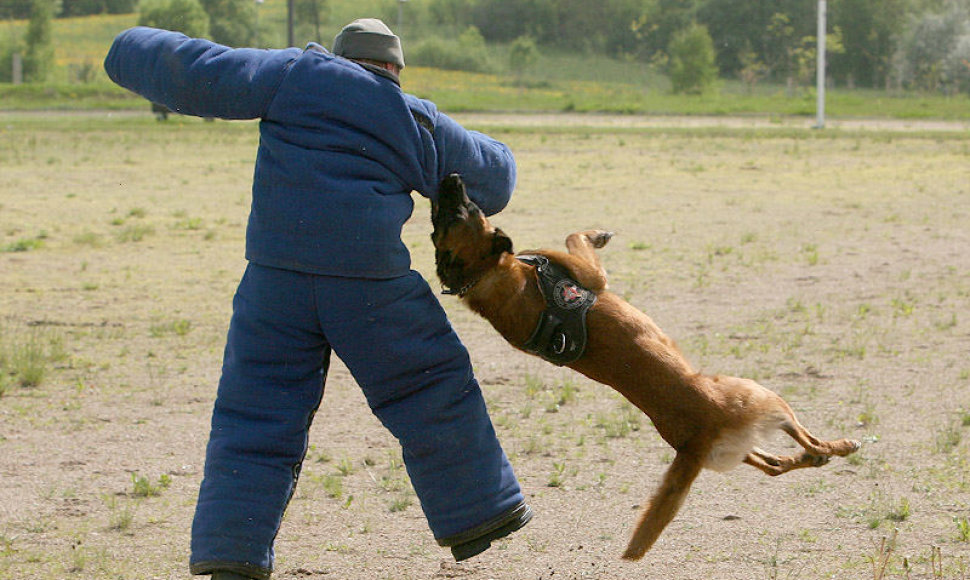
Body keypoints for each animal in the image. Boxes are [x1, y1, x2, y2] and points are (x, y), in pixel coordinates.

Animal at [432, 174, 864, 560]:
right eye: (459, 213)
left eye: (446, 218)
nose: (449, 178)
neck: (490, 277)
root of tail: (697, 440)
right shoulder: (594, 277)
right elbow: (569, 240)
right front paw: (581, 238)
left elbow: (566, 240)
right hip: (763, 394)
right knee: (803, 437)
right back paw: (838, 447)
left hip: (731, 450)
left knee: (773, 465)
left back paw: (808, 460)